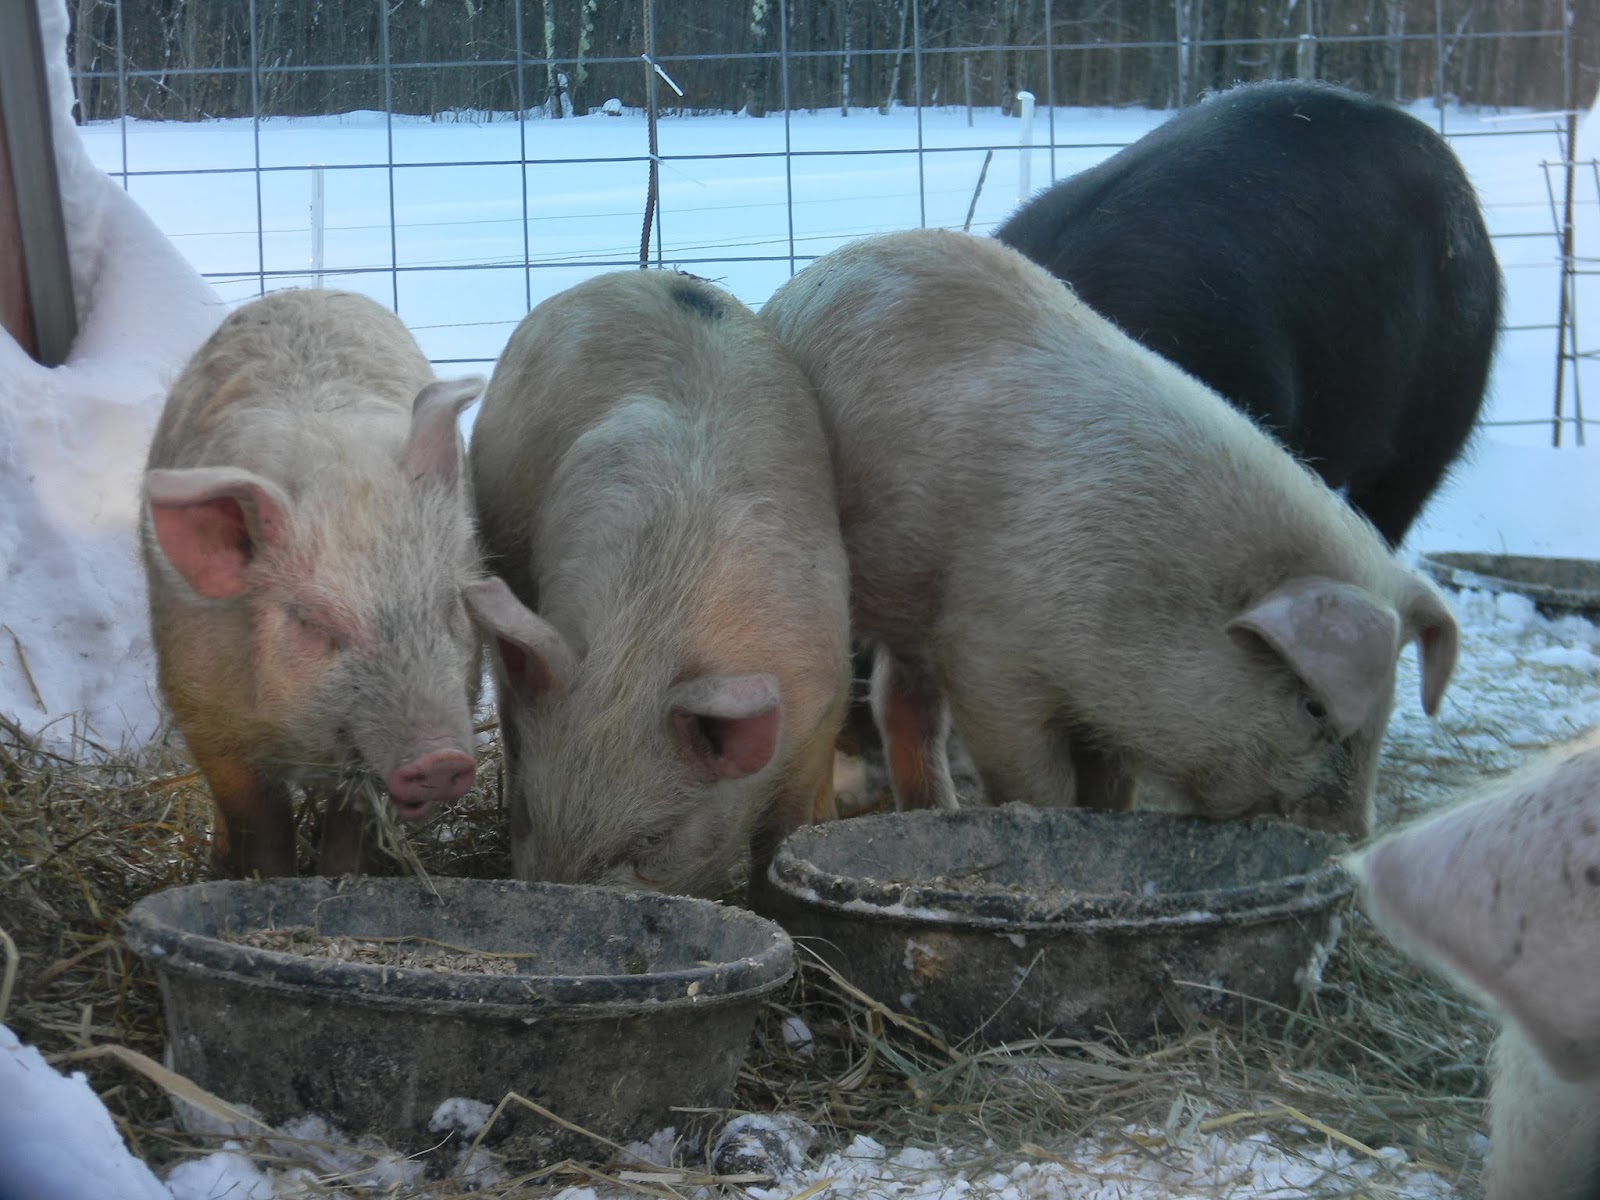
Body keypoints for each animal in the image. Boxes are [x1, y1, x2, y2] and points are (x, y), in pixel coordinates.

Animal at [140, 288, 539, 878]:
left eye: (447, 606)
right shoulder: (205, 709)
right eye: (312, 622)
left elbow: (352, 825)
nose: (441, 758)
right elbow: (260, 824)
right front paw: (263, 877)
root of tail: (306, 289)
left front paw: (340, 875)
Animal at [760, 228, 1458, 837]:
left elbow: (1111, 785)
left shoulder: (1106, 706)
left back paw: (935, 809)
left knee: (900, 704)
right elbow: (1031, 776)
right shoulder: (986, 651)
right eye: (1312, 706)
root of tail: (799, 284)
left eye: (1389, 709)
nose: (1354, 835)